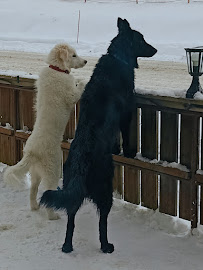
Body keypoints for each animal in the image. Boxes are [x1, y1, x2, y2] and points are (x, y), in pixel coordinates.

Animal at [3, 42, 87, 219]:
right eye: (74, 55)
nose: (86, 62)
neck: (56, 69)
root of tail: (31, 153)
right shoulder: (70, 94)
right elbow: (77, 88)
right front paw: (83, 79)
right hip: (54, 169)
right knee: (47, 191)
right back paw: (52, 215)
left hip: (35, 173)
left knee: (33, 190)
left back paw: (35, 207)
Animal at [40, 17, 157, 253]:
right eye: (142, 39)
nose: (156, 49)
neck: (118, 59)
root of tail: (80, 166)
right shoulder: (127, 114)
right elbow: (126, 136)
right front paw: (129, 153)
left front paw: (117, 149)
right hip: (105, 191)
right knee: (102, 221)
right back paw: (106, 246)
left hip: (72, 192)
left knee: (71, 218)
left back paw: (67, 246)